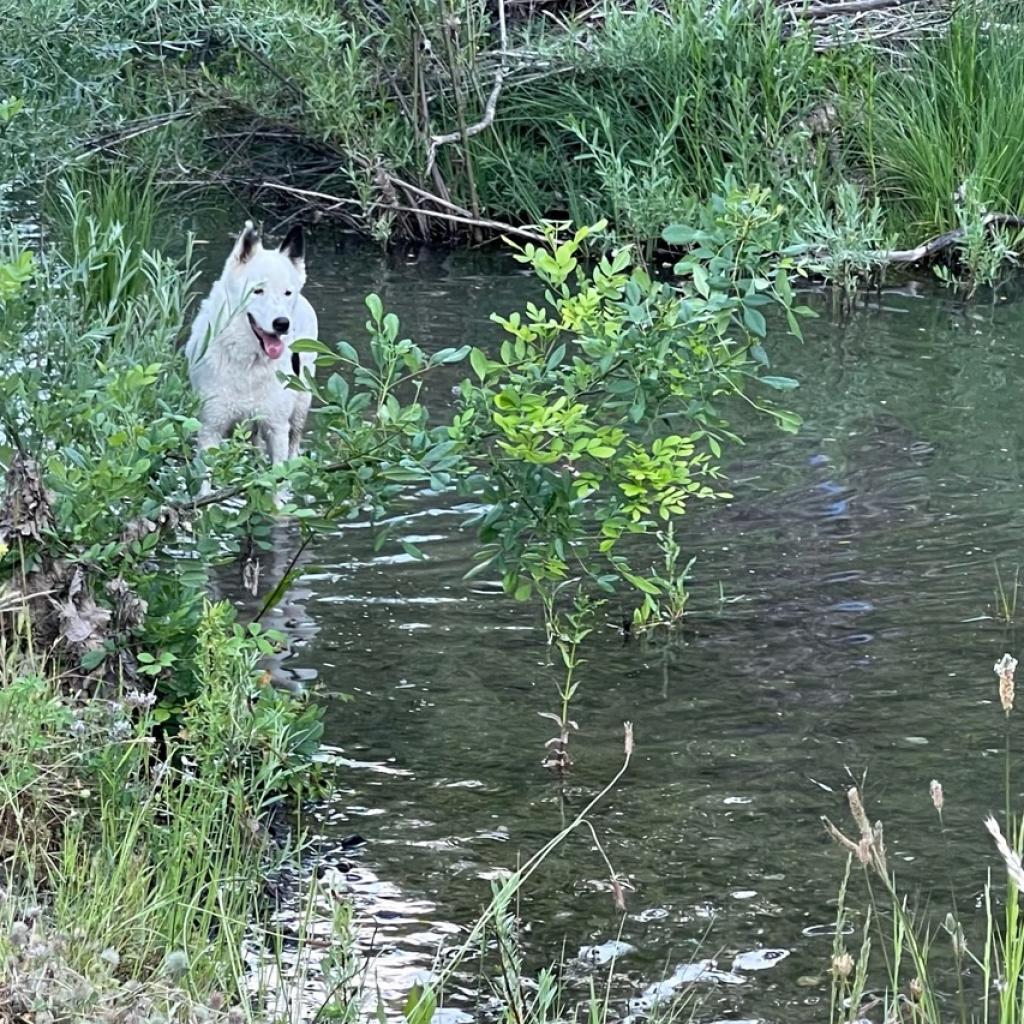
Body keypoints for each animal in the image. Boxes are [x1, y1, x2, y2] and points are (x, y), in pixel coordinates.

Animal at [186, 222, 317, 468]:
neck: (248, 362)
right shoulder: (211, 427)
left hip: (301, 405)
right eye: (258, 290)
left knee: (294, 443)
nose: (282, 324)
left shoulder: (277, 427)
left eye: (287, 293)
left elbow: (279, 473)